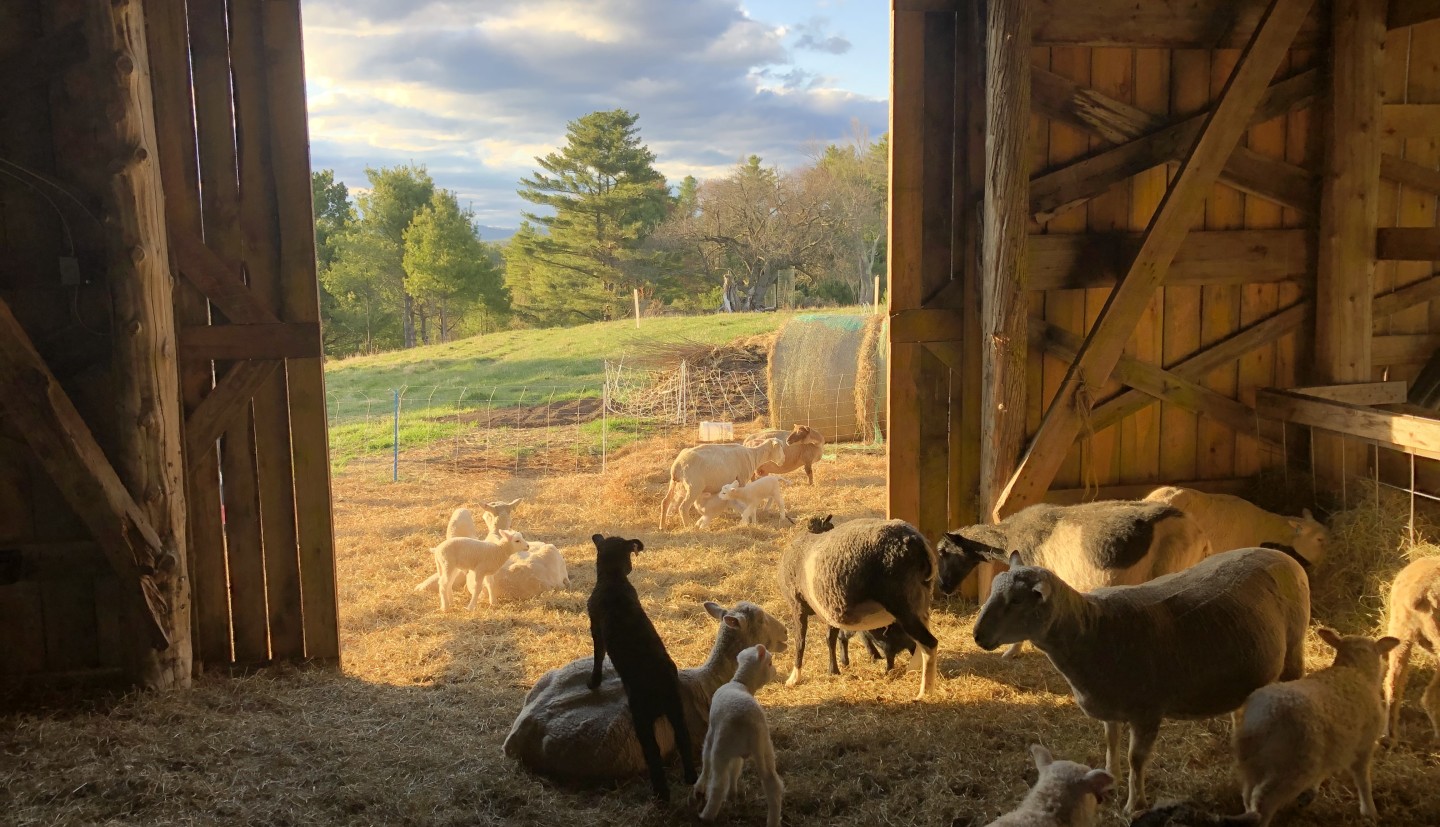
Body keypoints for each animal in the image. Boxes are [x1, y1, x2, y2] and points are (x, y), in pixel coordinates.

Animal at [585, 534, 697, 801]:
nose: (630, 567)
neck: (613, 579)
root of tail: (660, 681)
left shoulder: (596, 628)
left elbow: (597, 657)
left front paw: (593, 682)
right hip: (676, 709)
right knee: (684, 739)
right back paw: (690, 779)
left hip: (642, 717)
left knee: (653, 753)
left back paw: (661, 795)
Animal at [693, 644, 783, 827]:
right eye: (770, 663)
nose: (776, 671)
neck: (739, 683)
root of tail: (751, 726)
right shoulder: (737, 752)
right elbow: (735, 768)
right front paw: (732, 793)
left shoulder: (712, 733)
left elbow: (706, 761)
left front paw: (700, 787)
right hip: (765, 746)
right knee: (772, 784)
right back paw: (773, 820)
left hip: (721, 747)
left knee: (718, 784)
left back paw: (706, 815)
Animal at [778, 517, 939, 699]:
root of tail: (918, 544)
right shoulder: (830, 609)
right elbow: (830, 639)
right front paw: (834, 670)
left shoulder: (797, 604)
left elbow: (800, 642)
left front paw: (794, 678)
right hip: (920, 600)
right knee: (922, 640)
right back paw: (914, 670)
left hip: (901, 603)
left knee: (929, 643)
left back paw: (924, 693)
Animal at [973, 547, 1310, 813]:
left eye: (1017, 601)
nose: (977, 635)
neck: (1093, 628)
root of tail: (1280, 554)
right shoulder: (1109, 703)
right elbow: (1110, 741)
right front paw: (1111, 779)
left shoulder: (1147, 711)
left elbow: (1136, 758)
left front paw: (1135, 804)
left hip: (1293, 652)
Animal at [1233, 629, 1401, 827]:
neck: (1354, 670)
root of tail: (1261, 718)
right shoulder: (1364, 745)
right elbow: (1362, 779)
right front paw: (1370, 811)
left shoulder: (1332, 748)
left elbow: (1323, 772)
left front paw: (1311, 793)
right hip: (1293, 767)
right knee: (1263, 802)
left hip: (1252, 764)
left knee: (1248, 796)